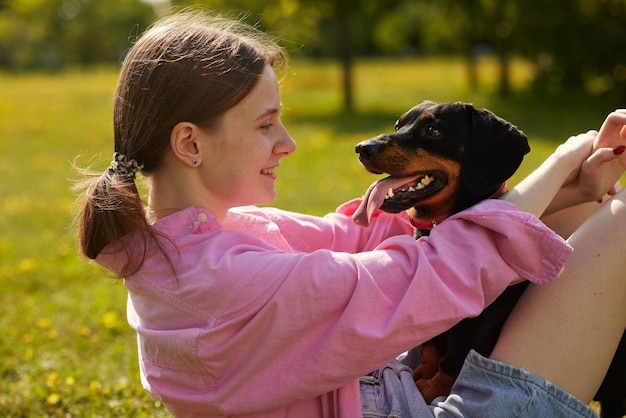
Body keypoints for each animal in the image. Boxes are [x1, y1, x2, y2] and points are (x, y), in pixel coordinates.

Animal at [352, 101, 624, 418]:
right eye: (399, 125)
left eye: (434, 130)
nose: (362, 148)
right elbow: (432, 350)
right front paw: (421, 377)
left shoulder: (477, 326)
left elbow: (451, 362)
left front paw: (429, 390)